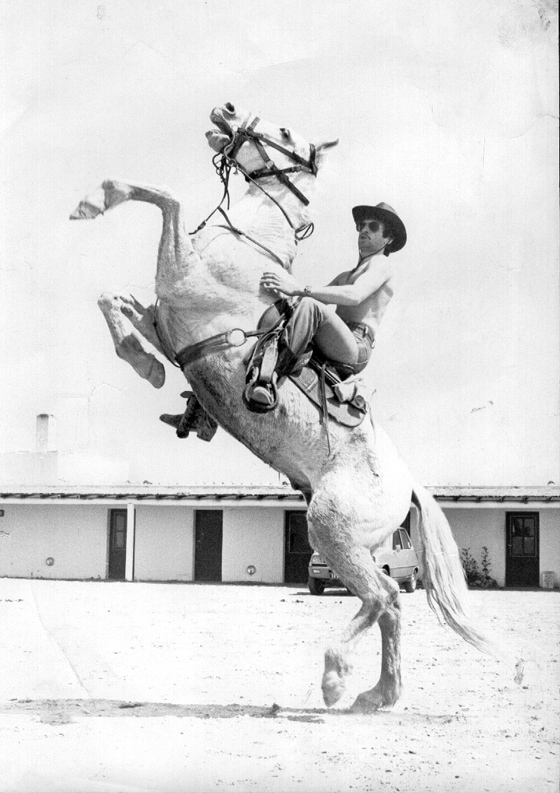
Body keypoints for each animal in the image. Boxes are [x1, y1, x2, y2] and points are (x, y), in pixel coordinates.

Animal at [70, 102, 494, 712]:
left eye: (287, 131)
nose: (224, 109)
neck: (250, 241)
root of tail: (406, 483)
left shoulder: (182, 280)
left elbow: (167, 199)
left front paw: (94, 200)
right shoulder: (168, 319)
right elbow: (115, 300)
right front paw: (144, 364)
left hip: (331, 529)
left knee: (384, 595)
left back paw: (337, 679)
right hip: (345, 539)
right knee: (391, 604)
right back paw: (378, 694)